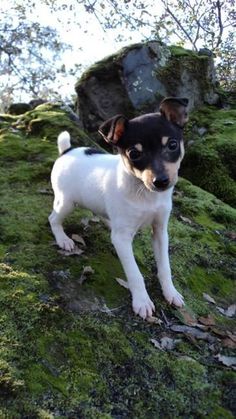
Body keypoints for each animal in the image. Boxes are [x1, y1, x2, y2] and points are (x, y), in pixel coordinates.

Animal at [48, 98, 189, 320]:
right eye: (134, 153)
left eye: (172, 145)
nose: (161, 182)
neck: (144, 193)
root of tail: (66, 151)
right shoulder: (122, 238)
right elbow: (134, 273)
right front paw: (142, 301)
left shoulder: (160, 231)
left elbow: (165, 267)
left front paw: (171, 292)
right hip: (66, 202)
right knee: (53, 219)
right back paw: (63, 239)